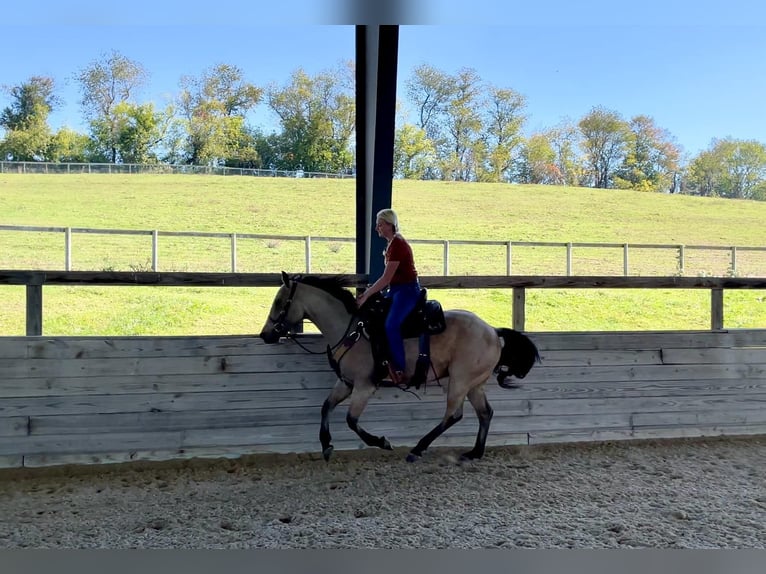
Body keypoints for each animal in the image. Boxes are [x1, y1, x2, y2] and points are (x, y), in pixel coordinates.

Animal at [260, 272, 544, 466]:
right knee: (485, 413)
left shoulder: (365, 385)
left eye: (279, 301)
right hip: (475, 383)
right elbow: (325, 407)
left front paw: (381, 442)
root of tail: (493, 332)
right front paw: (326, 445)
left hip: (460, 380)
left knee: (453, 415)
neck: (351, 329)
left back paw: (418, 449)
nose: (265, 335)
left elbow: (351, 420)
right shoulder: (346, 383)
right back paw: (474, 452)